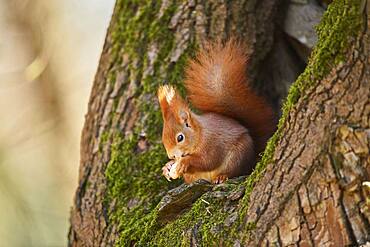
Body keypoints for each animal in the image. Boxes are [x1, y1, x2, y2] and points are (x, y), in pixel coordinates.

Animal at [158, 39, 276, 184]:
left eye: (180, 137)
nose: (172, 155)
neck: (200, 134)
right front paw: (167, 167)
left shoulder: (212, 143)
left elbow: (207, 161)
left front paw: (183, 163)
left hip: (238, 156)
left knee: (233, 171)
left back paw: (221, 177)